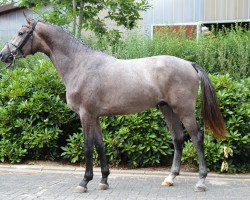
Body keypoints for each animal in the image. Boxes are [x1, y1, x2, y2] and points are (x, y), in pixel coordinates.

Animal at [0, 16, 227, 192]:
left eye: (21, 32)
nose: (3, 55)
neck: (80, 65)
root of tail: (189, 64)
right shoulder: (95, 116)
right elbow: (100, 145)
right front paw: (104, 180)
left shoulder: (86, 115)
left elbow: (88, 146)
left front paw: (84, 182)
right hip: (167, 108)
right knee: (178, 138)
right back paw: (170, 178)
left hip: (184, 110)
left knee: (197, 137)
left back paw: (201, 181)